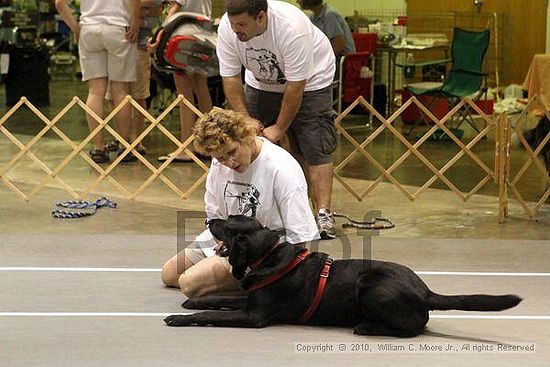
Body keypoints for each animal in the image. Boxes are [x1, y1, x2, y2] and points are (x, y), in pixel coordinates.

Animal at [164, 216, 520, 340]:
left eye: (227, 224)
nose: (209, 220)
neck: (268, 257)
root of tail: (427, 291)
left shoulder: (254, 316)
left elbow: (211, 314)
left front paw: (179, 318)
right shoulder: (248, 300)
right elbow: (220, 299)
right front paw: (192, 301)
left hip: (372, 287)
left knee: (413, 328)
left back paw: (368, 327)